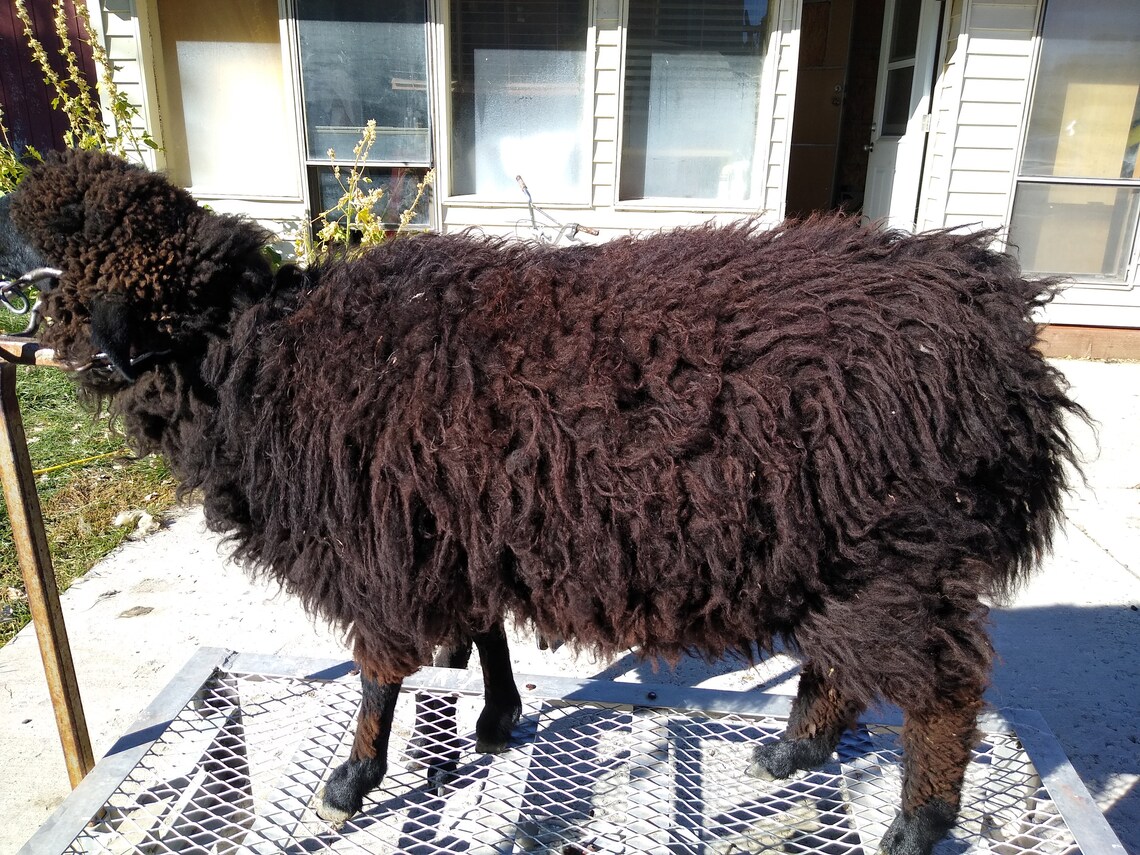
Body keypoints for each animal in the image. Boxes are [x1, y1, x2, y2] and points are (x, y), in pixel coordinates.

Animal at [0, 149, 1083, 855]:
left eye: (57, 281)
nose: (24, 337)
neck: (259, 359)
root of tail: (999, 327)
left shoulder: (383, 550)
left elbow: (377, 674)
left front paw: (352, 782)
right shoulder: (460, 524)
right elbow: (483, 630)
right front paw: (496, 718)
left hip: (901, 557)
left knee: (942, 694)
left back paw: (911, 825)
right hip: (842, 559)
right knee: (844, 665)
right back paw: (790, 752)